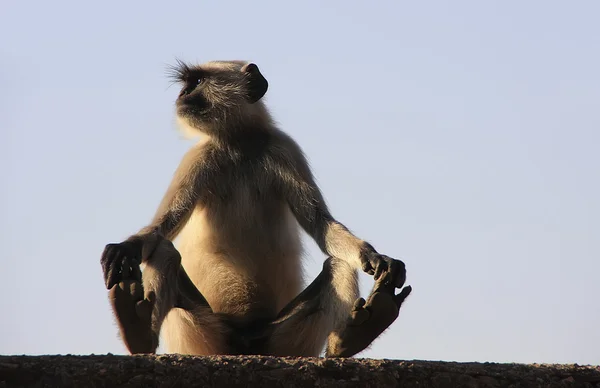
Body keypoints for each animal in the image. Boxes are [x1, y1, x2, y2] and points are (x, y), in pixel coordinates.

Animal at [102, 59, 412, 356]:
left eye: (197, 81)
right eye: (188, 83)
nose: (182, 95)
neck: (239, 145)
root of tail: (245, 340)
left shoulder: (285, 149)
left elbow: (321, 225)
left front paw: (374, 256)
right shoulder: (198, 157)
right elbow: (162, 226)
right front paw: (126, 247)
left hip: (280, 338)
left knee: (338, 263)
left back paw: (348, 339)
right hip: (205, 331)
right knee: (164, 250)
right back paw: (139, 333)